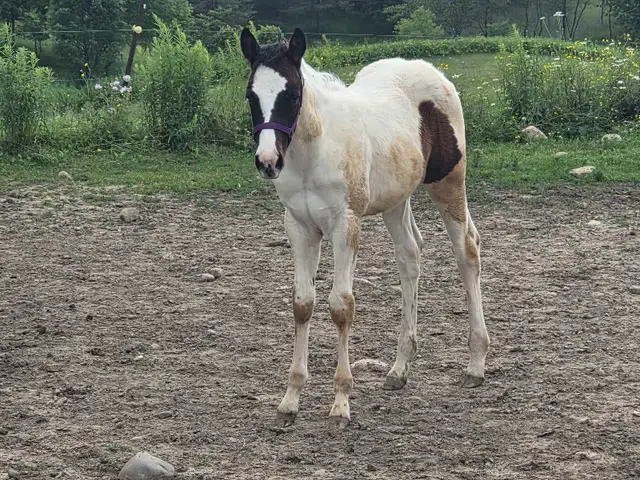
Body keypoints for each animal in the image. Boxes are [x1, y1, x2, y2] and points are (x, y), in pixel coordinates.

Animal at [239, 27, 490, 428]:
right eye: (251, 95)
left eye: (292, 94)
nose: (268, 161)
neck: (314, 151)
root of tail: (432, 71)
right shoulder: (299, 227)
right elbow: (302, 303)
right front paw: (290, 400)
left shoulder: (346, 225)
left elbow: (341, 305)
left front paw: (341, 403)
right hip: (396, 199)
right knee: (409, 255)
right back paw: (399, 368)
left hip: (448, 182)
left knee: (467, 249)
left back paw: (476, 363)